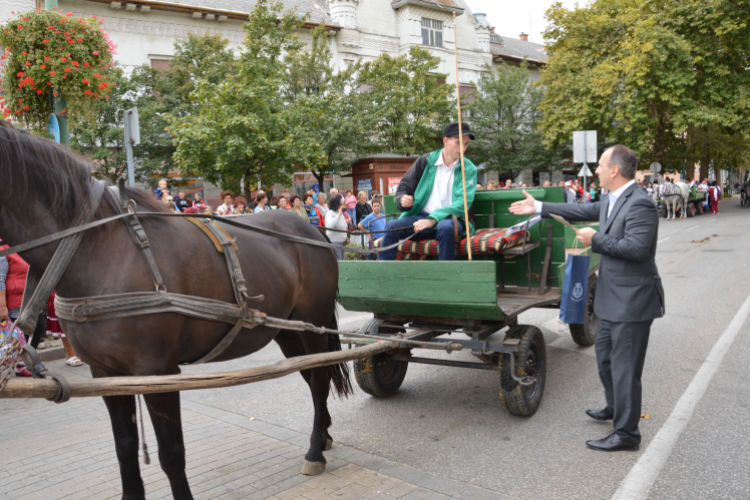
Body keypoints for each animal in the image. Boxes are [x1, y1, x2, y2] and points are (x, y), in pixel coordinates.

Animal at [0, 122, 352, 500]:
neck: (98, 248)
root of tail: (310, 229)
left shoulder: (158, 371)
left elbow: (171, 453)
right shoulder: (104, 372)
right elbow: (125, 446)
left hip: (312, 324)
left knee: (320, 379)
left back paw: (315, 450)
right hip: (288, 330)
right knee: (312, 378)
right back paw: (324, 435)